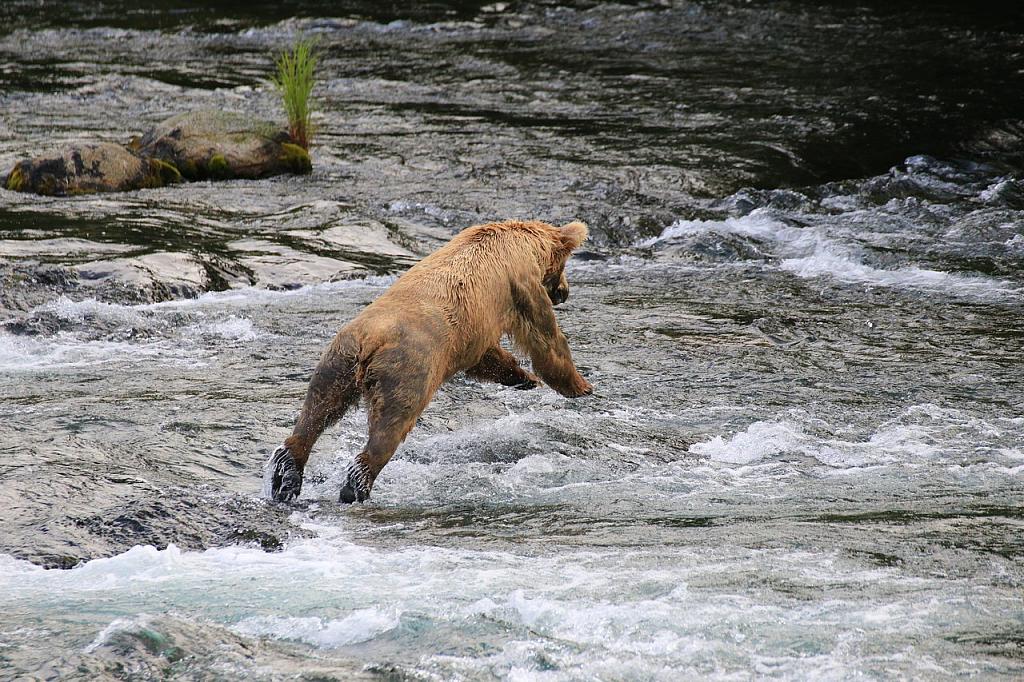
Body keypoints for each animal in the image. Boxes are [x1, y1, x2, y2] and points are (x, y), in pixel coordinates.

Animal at [264, 218, 593, 499]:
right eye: (564, 268)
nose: (564, 292)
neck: (526, 245)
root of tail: (371, 341)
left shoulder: (472, 331)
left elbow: (489, 357)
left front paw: (524, 378)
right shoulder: (520, 286)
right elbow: (545, 339)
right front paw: (579, 385)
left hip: (338, 361)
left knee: (316, 412)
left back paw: (286, 477)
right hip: (408, 370)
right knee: (390, 426)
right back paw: (355, 488)